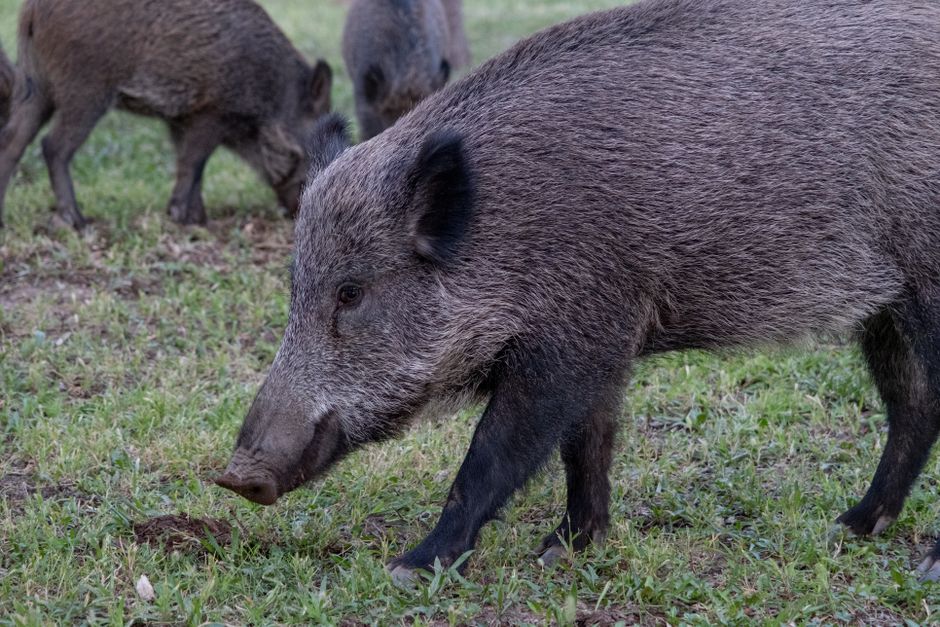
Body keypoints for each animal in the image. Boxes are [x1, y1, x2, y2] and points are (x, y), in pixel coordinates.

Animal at [0, 0, 333, 230]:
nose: (296, 213)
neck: (273, 90)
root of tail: (32, 12)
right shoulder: (211, 114)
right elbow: (194, 163)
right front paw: (183, 219)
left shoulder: (180, 119)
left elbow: (188, 164)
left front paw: (197, 219)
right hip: (85, 92)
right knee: (52, 146)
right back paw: (78, 221)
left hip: (36, 86)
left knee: (13, 140)